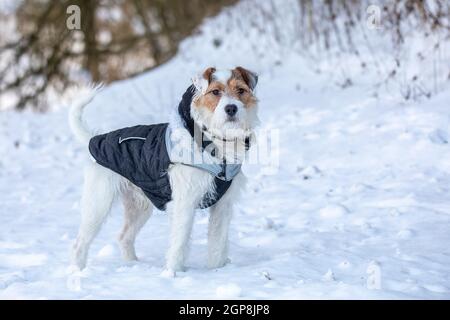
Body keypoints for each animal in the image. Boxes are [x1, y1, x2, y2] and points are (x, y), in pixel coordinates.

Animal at [69, 65, 260, 276]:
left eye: (241, 90)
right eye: (215, 92)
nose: (231, 108)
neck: (213, 143)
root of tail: (95, 138)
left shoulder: (223, 206)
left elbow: (218, 242)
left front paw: (217, 270)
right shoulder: (184, 204)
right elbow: (179, 242)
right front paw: (172, 273)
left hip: (139, 206)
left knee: (124, 237)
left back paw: (133, 265)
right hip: (98, 204)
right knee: (79, 243)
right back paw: (77, 272)